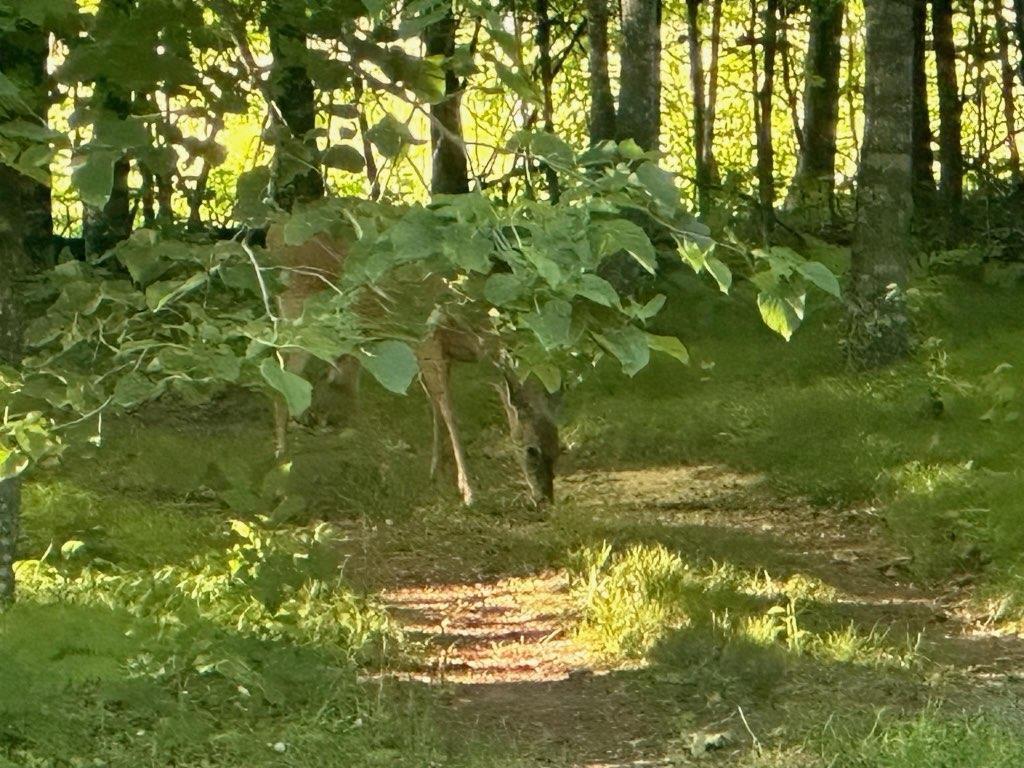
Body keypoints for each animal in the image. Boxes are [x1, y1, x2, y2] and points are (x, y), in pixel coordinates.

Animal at [260, 221, 557, 505]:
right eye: (531, 450)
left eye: (558, 445)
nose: (544, 498)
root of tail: (272, 234)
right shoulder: (426, 343)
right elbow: (449, 412)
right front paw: (468, 491)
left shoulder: (440, 354)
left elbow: (436, 407)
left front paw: (437, 473)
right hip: (300, 313)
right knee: (282, 375)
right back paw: (281, 461)